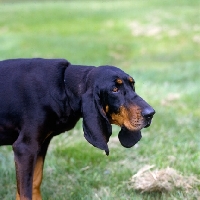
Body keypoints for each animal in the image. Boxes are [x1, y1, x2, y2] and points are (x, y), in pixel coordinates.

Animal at [0, 57, 155, 198]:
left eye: (132, 85)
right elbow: (25, 193)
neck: (64, 85)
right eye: (114, 89)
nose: (151, 114)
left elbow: (35, 184)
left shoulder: (41, 145)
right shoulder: (25, 148)